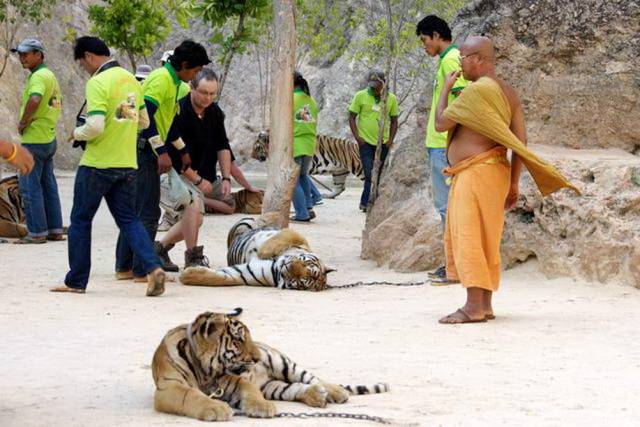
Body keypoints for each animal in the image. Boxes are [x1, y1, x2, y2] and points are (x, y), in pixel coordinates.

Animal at [152, 310, 388, 422]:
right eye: (238, 341)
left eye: (248, 337)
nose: (257, 359)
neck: (205, 371)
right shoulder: (169, 387)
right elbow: (191, 395)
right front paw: (216, 408)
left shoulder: (229, 378)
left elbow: (247, 387)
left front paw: (261, 407)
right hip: (275, 387)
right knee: (296, 389)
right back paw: (316, 396)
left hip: (284, 364)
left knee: (313, 378)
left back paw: (335, 391)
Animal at [180, 217, 336, 290]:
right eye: (306, 263)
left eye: (303, 280)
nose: (290, 266)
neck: (277, 267)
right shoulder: (297, 238)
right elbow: (287, 235)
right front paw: (263, 251)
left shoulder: (241, 274)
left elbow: (218, 278)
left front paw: (187, 274)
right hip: (248, 221)